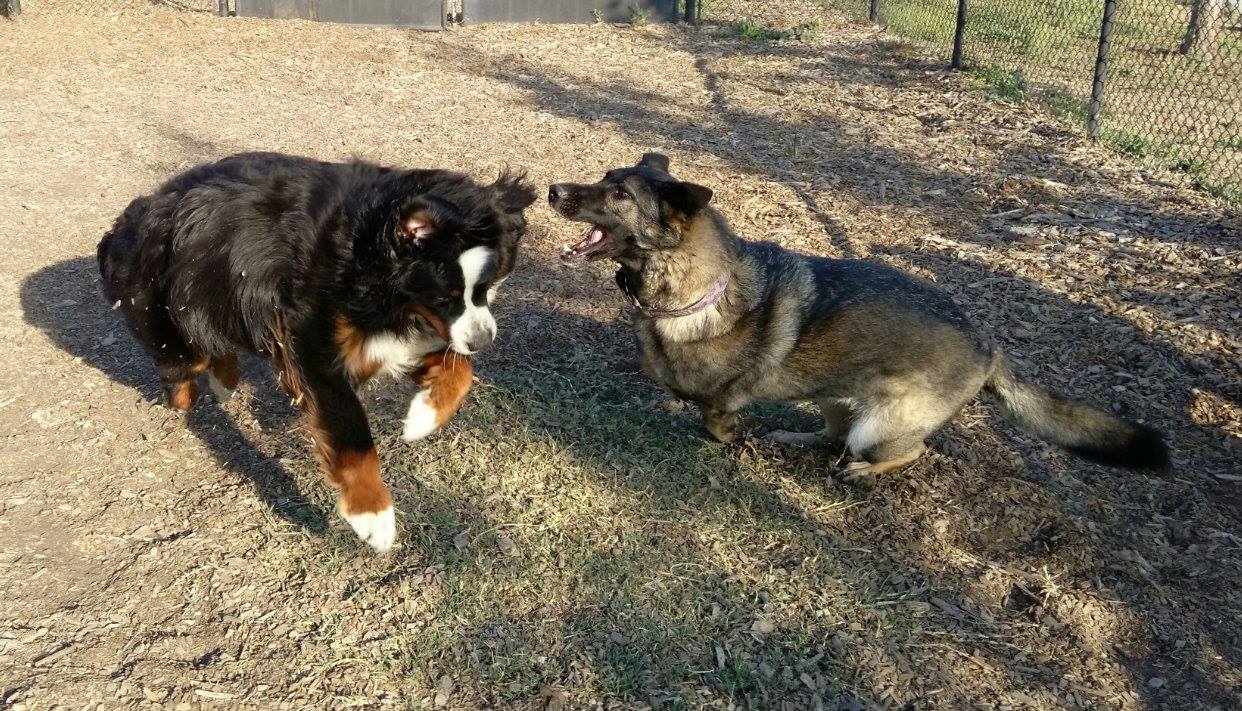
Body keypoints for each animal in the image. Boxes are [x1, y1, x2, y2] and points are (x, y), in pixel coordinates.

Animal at [98, 152, 537, 552]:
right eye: (445, 297)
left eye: (486, 287)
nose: (484, 340)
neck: (365, 258)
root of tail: (135, 214)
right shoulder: (315, 343)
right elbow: (350, 427)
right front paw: (373, 516)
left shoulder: (388, 338)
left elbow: (459, 370)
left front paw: (422, 418)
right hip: (173, 307)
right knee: (185, 367)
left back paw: (225, 380)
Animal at [548, 153, 1169, 483]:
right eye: (603, 177)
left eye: (620, 194)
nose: (553, 189)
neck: (698, 288)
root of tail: (989, 346)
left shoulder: (720, 400)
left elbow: (713, 418)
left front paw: (726, 438)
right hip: (831, 396)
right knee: (829, 431)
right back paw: (793, 434)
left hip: (880, 427)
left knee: (905, 450)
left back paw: (864, 470)